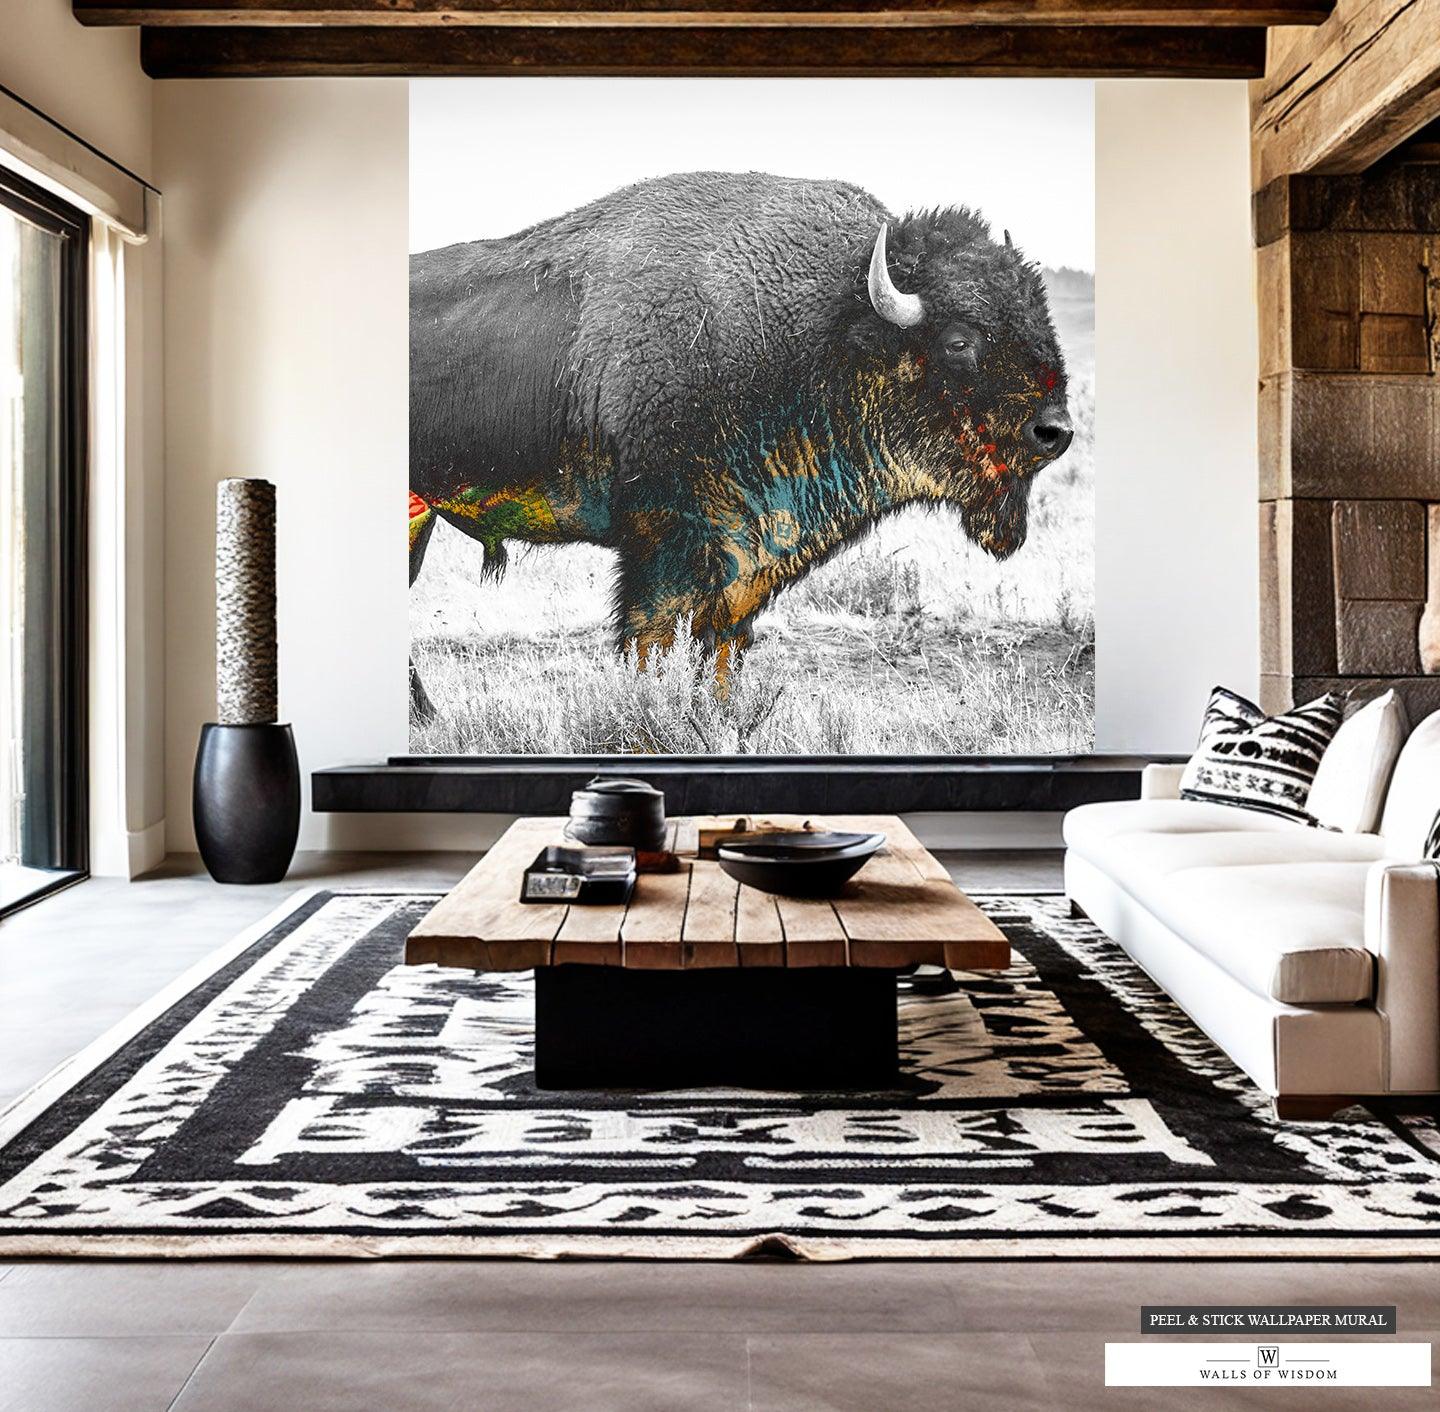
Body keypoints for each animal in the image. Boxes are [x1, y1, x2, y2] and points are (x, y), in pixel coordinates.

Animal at [409, 170, 1073, 707]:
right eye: (960, 341)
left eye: (1042, 322)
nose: (1055, 432)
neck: (826, 326)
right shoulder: (663, 543)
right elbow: (649, 641)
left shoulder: (744, 564)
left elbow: (722, 653)